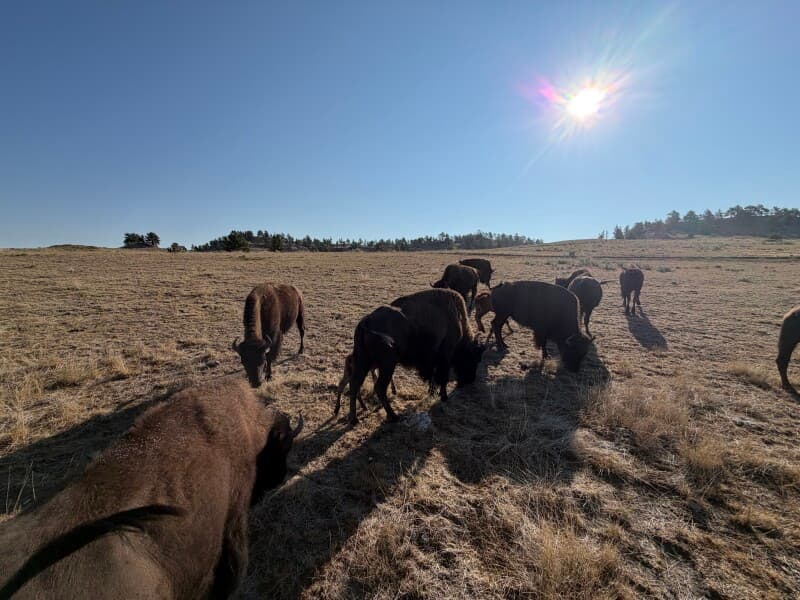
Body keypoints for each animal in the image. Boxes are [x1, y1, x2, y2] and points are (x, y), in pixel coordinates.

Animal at [335, 289, 485, 426]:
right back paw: (393, 416)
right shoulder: (445, 357)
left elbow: (434, 378)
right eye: (474, 358)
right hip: (387, 364)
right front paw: (444, 396)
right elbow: (442, 378)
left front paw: (432, 393)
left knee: (355, 384)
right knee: (379, 387)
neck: (457, 318)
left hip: (363, 361)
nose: (469, 380)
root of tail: (366, 322)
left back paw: (354, 419)